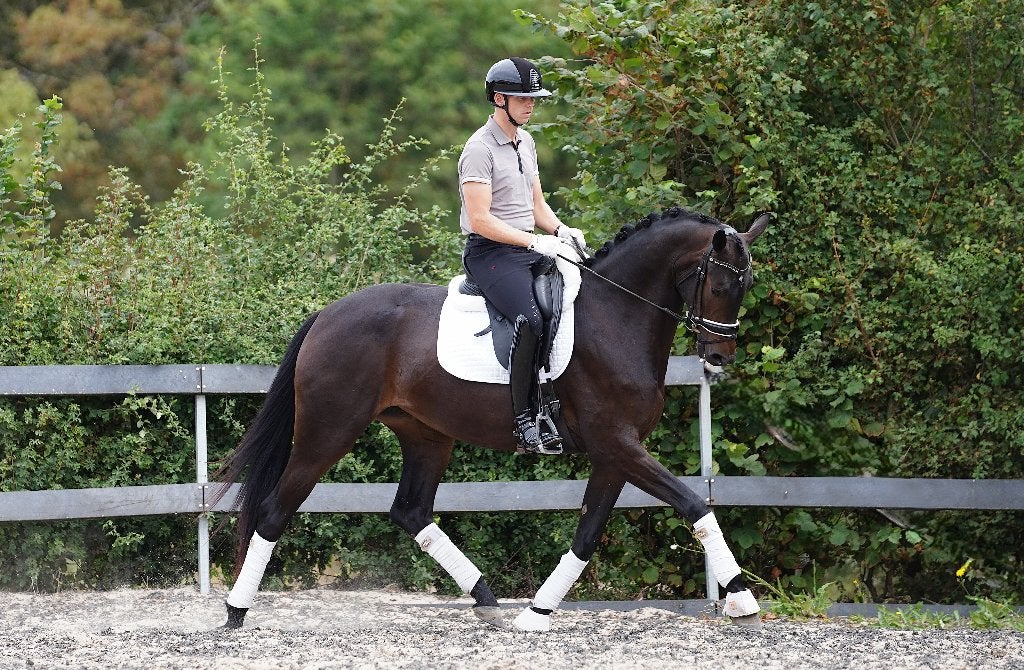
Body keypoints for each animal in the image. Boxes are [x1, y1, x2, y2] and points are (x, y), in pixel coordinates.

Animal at [213, 207, 773, 632]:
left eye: (745, 285)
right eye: (720, 284)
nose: (718, 357)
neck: (616, 316)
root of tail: (327, 315)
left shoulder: (615, 453)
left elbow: (587, 534)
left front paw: (537, 612)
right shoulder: (617, 443)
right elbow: (693, 503)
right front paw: (743, 597)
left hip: (427, 436)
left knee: (411, 511)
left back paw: (486, 598)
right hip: (328, 432)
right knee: (274, 510)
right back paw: (236, 613)